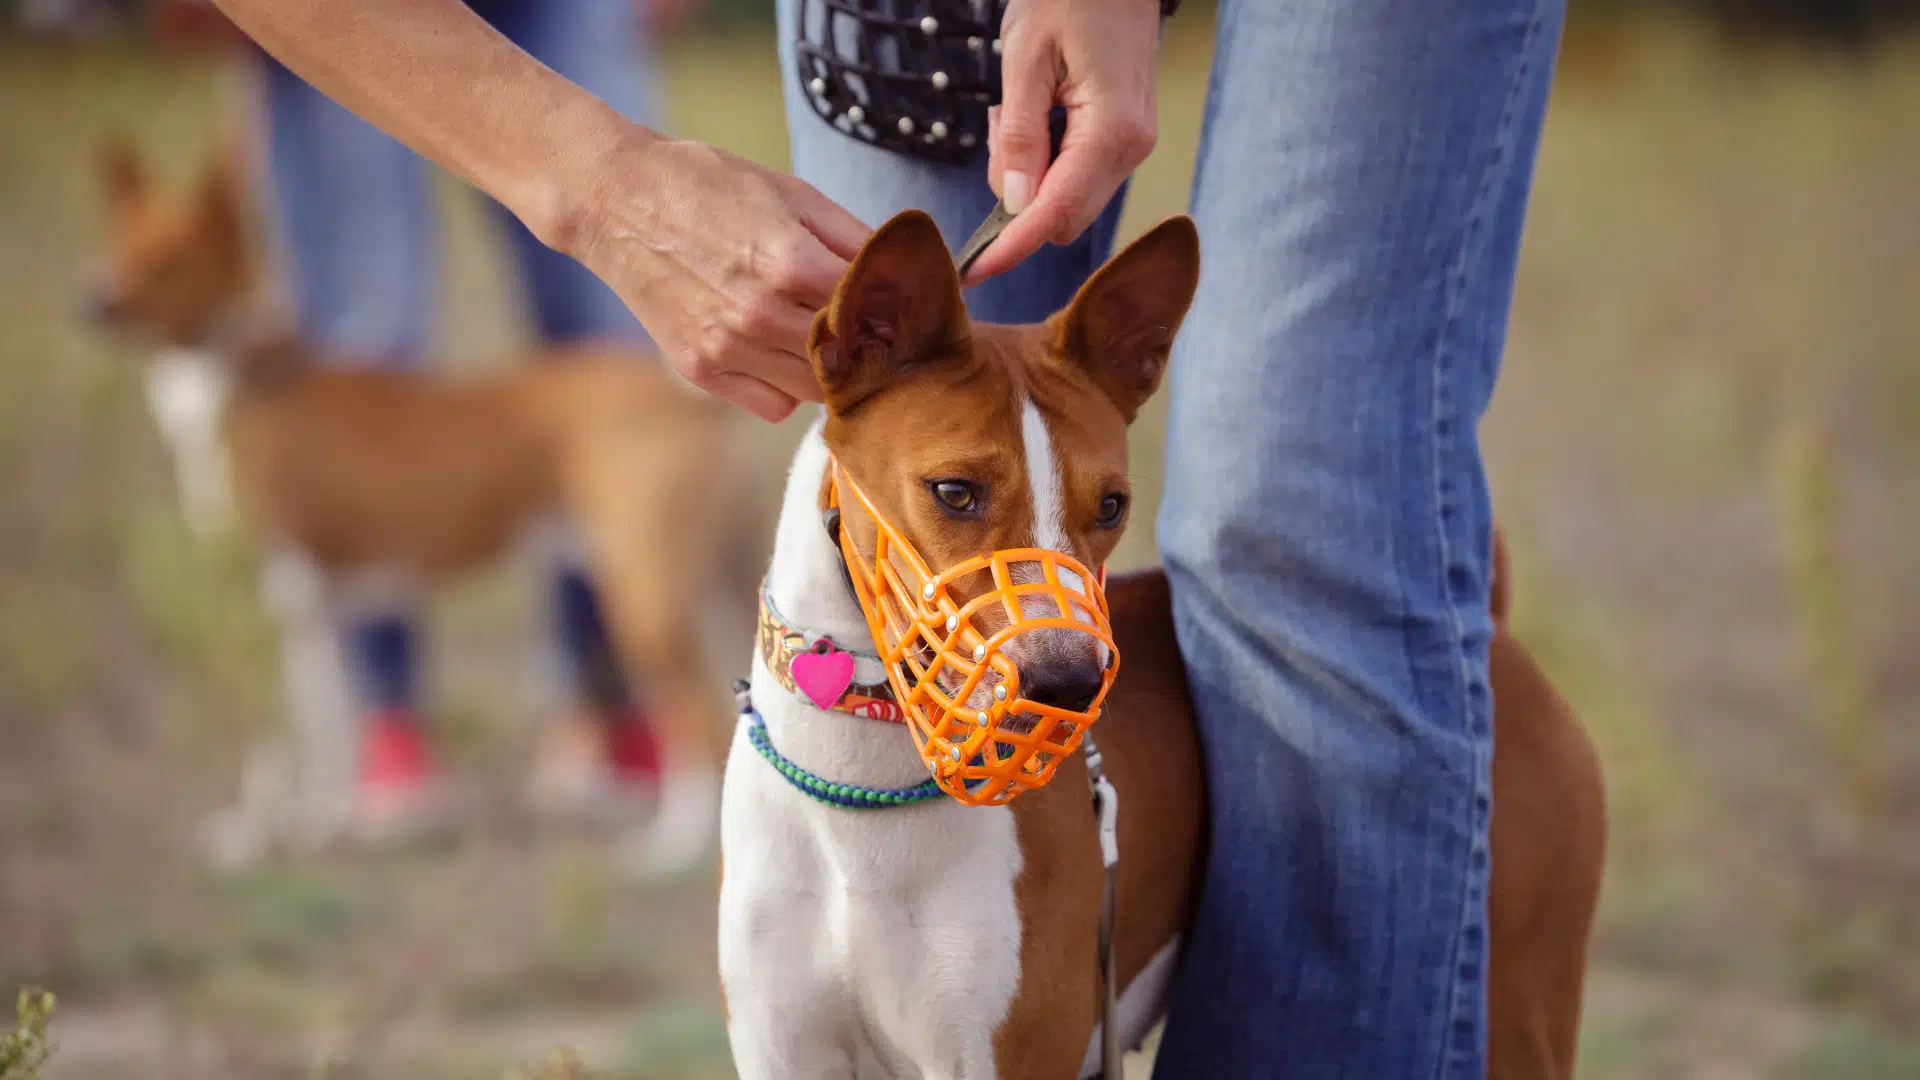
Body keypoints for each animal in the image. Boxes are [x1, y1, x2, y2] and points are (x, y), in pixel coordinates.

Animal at [721, 212, 1605, 1076]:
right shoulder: (783, 1053)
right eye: (954, 492)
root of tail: (1491, 633)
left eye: (1112, 506)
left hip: (1517, 1010)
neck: (859, 798)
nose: (1069, 686)